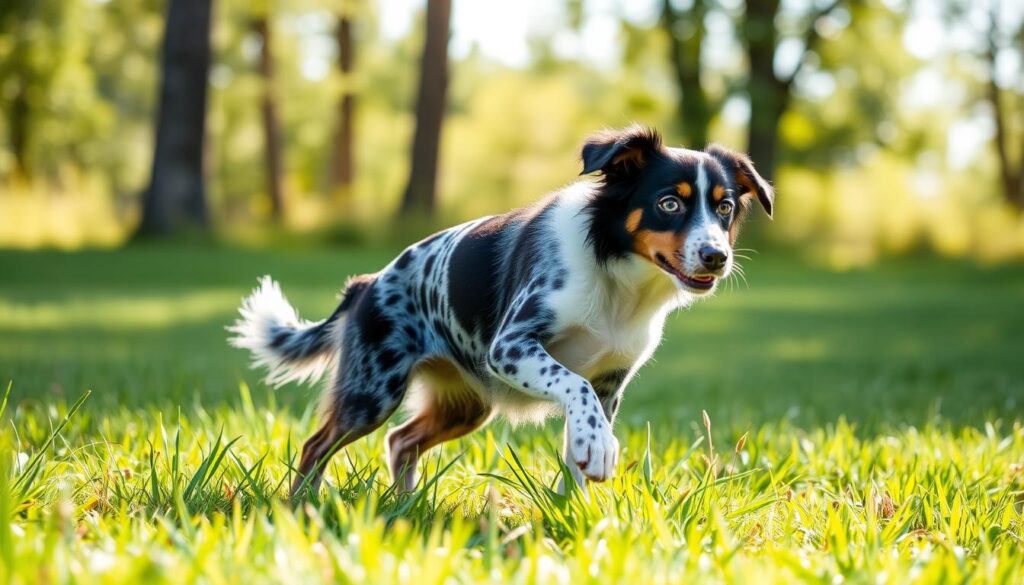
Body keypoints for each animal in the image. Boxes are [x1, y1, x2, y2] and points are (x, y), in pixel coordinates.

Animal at [228, 126, 770, 495]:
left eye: (723, 208)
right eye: (670, 204)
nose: (716, 257)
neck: (616, 277)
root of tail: (368, 283)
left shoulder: (610, 381)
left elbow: (582, 434)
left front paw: (575, 508)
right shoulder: (510, 347)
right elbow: (573, 387)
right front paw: (598, 454)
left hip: (466, 405)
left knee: (401, 441)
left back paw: (403, 507)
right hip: (372, 391)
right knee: (315, 446)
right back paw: (301, 508)